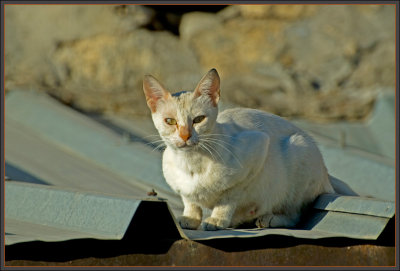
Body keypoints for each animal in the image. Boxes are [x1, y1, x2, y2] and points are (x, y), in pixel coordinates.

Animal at [142, 68, 336, 232]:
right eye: (170, 121)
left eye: (198, 119)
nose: (185, 136)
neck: (191, 163)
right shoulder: (182, 188)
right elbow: (190, 201)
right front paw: (191, 218)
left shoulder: (257, 149)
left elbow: (227, 199)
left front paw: (217, 220)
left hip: (298, 149)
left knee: (295, 215)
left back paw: (266, 218)